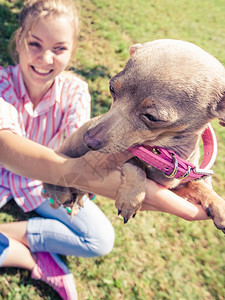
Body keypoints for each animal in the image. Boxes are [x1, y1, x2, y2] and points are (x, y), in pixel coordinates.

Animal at [43, 39, 225, 232]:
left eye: (152, 117)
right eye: (111, 88)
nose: (88, 140)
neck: (166, 155)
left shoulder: (173, 188)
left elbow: (196, 184)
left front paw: (217, 203)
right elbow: (136, 164)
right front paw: (132, 198)